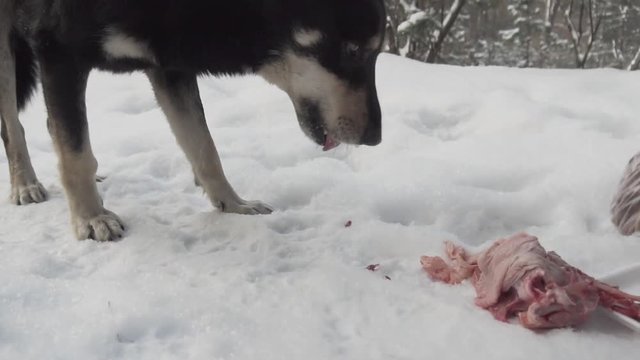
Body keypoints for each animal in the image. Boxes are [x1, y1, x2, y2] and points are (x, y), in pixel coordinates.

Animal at [0, 0, 384, 242]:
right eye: (353, 51)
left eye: (374, 52)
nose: (375, 137)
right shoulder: (59, 52)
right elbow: (75, 154)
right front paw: (90, 218)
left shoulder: (169, 64)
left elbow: (203, 146)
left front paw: (233, 204)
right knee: (13, 125)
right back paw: (25, 184)